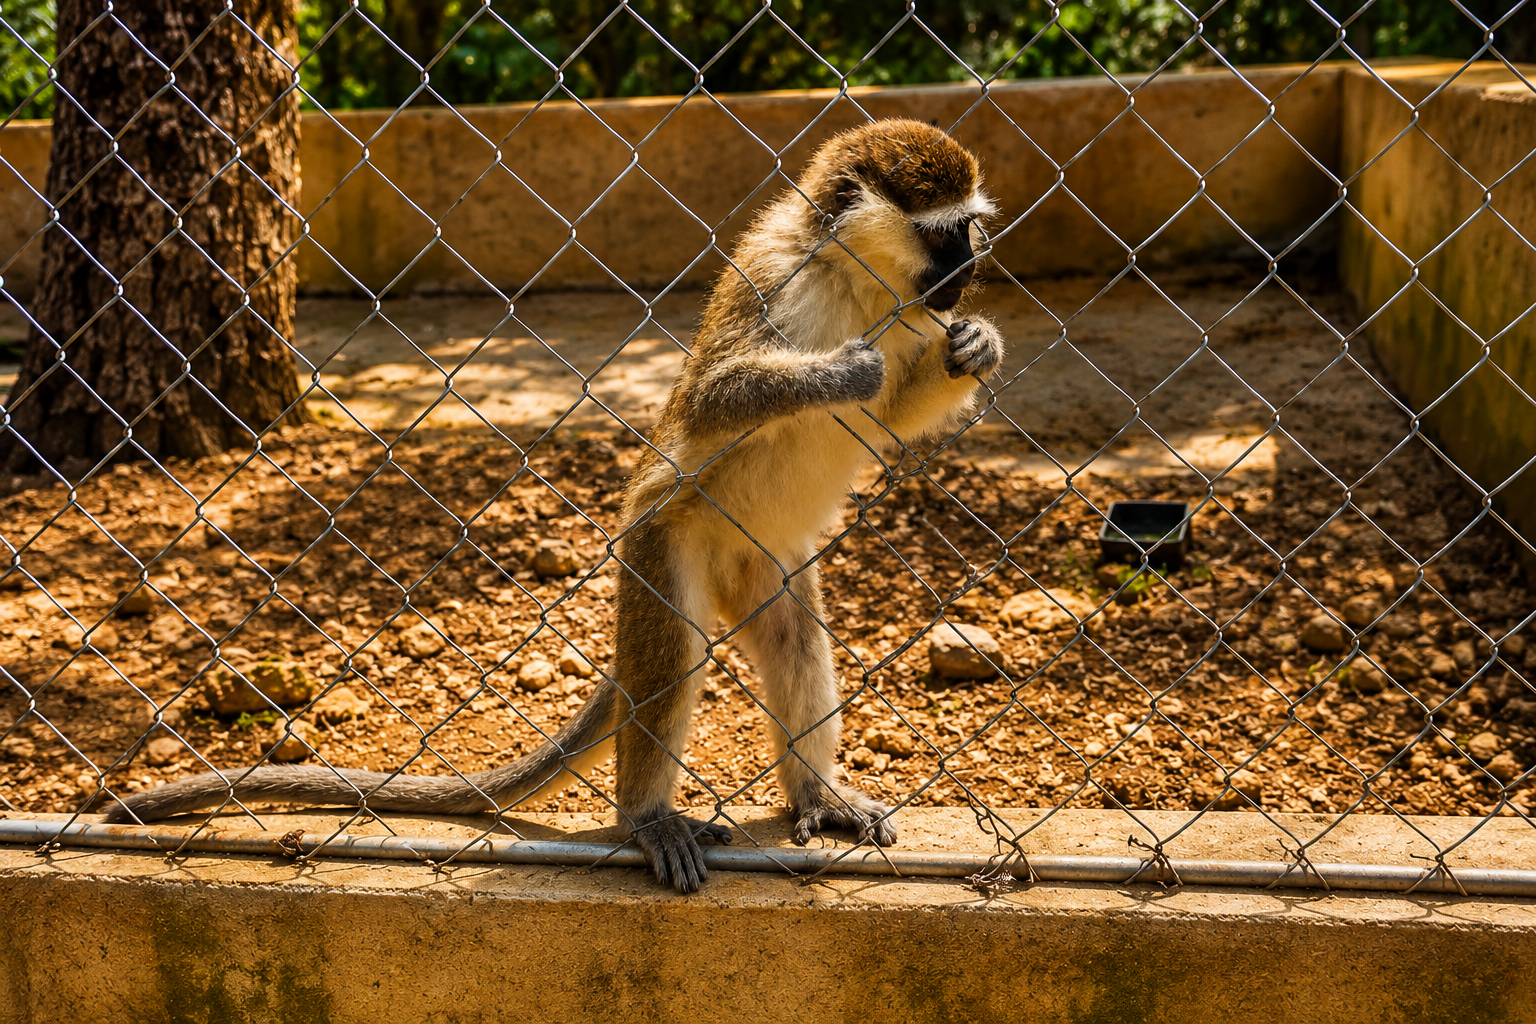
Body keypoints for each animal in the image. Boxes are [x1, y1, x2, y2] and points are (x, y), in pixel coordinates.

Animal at [104, 118, 1007, 893]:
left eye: (968, 229)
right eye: (944, 232)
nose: (972, 265)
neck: (856, 277)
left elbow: (893, 413)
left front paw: (977, 347)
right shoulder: (774, 275)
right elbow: (713, 400)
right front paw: (839, 374)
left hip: (765, 563)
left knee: (793, 639)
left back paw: (816, 795)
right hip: (661, 542)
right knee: (670, 658)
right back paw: (646, 818)